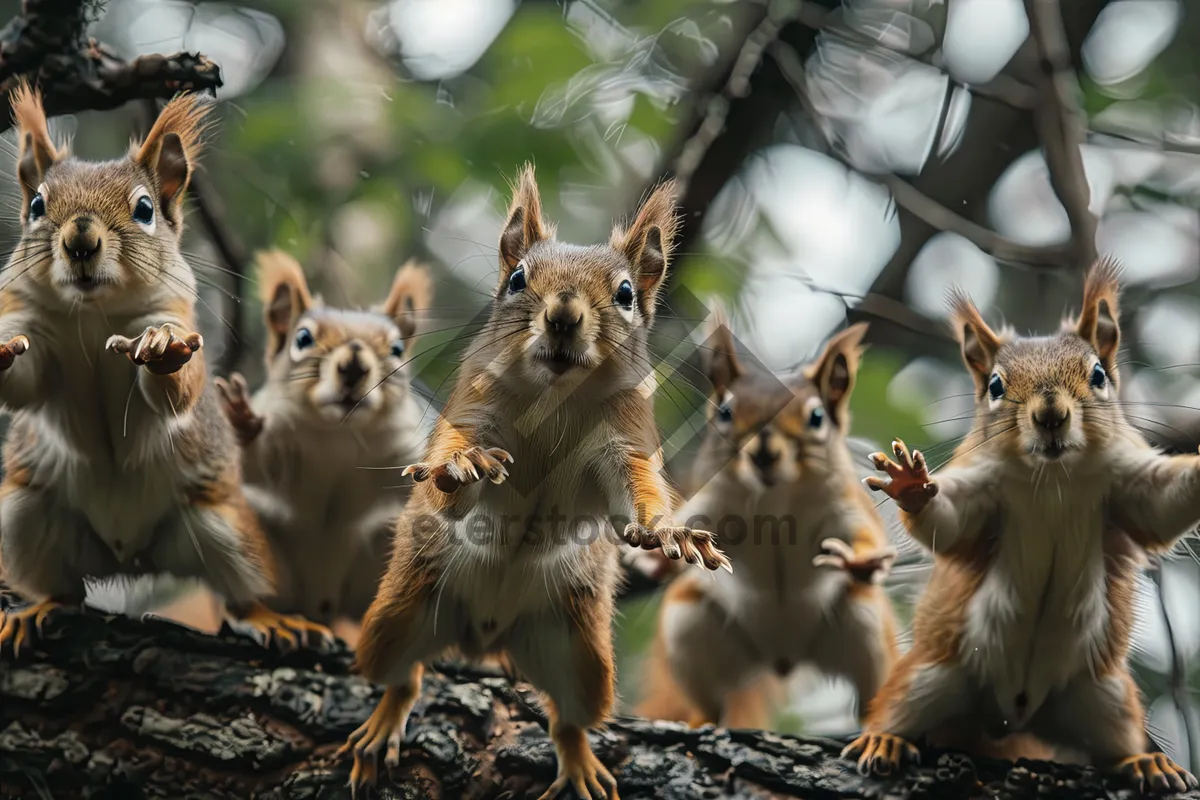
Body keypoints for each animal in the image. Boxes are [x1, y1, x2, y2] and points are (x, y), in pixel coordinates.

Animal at [0, 81, 326, 657]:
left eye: (146, 208)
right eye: (37, 204)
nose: (80, 242)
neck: (93, 314)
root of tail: (128, 557)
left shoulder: (172, 310)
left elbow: (178, 390)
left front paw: (164, 350)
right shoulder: (29, 326)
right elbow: (26, 381)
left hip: (227, 528)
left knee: (243, 591)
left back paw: (271, 617)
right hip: (21, 514)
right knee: (65, 590)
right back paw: (37, 608)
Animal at [212, 251, 436, 638]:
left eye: (396, 349)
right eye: (302, 338)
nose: (353, 365)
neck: (339, 435)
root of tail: (320, 603)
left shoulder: (405, 444)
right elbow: (251, 466)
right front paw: (241, 420)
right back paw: (265, 618)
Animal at [338, 165, 729, 796]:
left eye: (625, 294)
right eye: (517, 279)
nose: (563, 316)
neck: (556, 396)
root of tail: (488, 634)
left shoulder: (624, 440)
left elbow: (636, 496)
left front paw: (670, 531)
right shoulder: (474, 409)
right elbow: (453, 475)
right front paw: (461, 466)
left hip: (582, 656)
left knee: (569, 716)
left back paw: (578, 763)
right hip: (400, 614)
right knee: (401, 675)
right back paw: (384, 724)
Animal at [638, 314, 902, 734]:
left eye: (816, 417)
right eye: (725, 412)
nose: (764, 454)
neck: (776, 501)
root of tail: (782, 657)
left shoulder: (845, 507)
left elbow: (864, 536)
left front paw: (859, 561)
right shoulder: (712, 504)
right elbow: (685, 525)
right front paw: (659, 554)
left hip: (866, 627)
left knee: (870, 698)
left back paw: (880, 733)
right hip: (689, 624)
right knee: (712, 704)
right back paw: (700, 721)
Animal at [844, 257, 1200, 796]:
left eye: (1098, 374)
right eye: (995, 386)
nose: (1051, 415)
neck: (1053, 479)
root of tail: (1012, 718)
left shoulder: (1128, 484)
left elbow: (1164, 505)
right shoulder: (983, 493)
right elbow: (948, 525)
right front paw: (911, 484)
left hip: (1106, 697)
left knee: (1114, 743)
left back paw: (1144, 762)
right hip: (929, 675)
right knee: (898, 709)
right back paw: (884, 739)